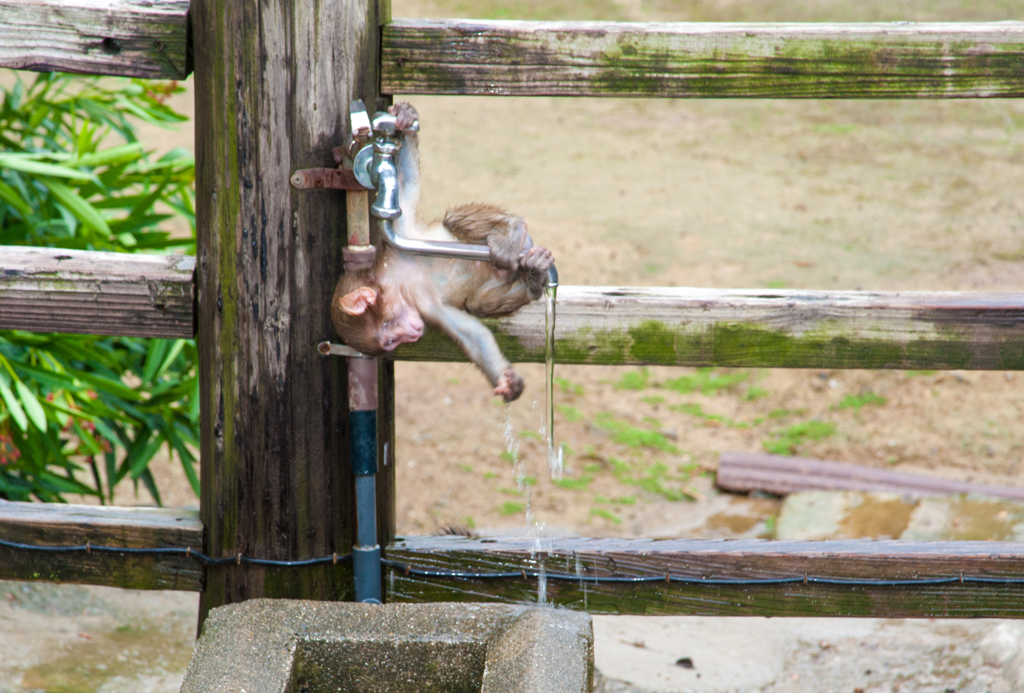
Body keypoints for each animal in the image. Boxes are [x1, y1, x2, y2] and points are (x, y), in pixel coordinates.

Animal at [329, 101, 552, 399]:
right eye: (390, 342)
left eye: (389, 333)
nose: (412, 336)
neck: (398, 281)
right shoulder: (421, 303)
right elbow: (471, 333)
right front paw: (506, 380)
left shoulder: (403, 249)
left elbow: (405, 190)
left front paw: (405, 119)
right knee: (478, 303)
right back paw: (532, 281)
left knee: (455, 221)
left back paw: (513, 230)